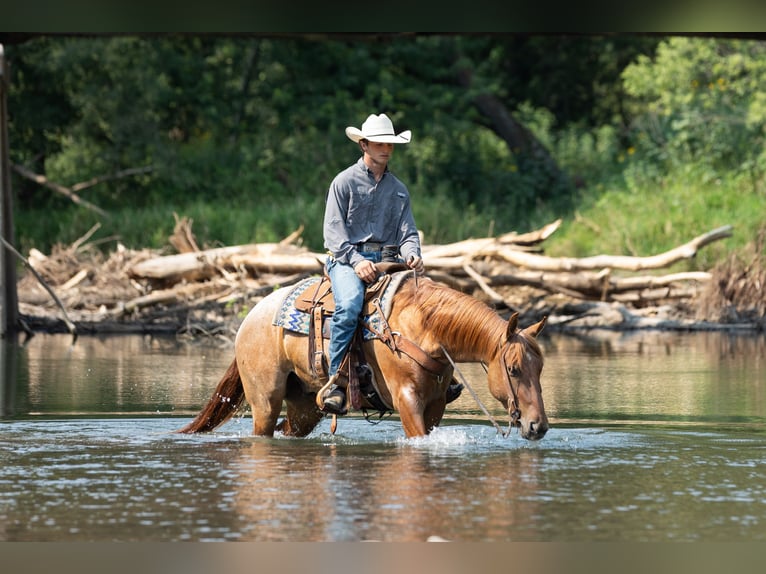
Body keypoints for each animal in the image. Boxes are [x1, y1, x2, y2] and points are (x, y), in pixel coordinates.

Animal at [178, 272, 549, 440]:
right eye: (514, 369)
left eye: (540, 369)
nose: (538, 426)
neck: (422, 328)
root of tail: (251, 316)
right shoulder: (406, 399)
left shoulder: (436, 404)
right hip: (265, 400)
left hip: (305, 407)